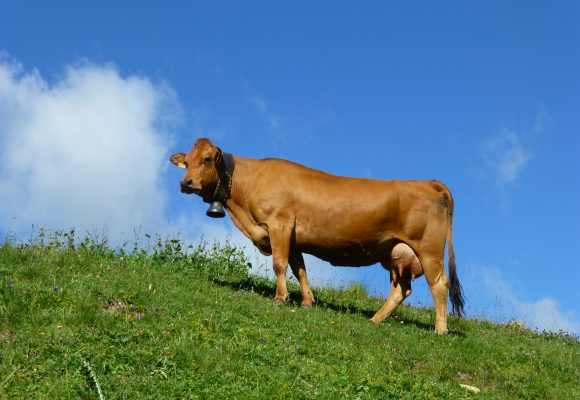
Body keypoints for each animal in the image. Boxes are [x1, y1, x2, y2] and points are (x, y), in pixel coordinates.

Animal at [170, 139, 464, 332]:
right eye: (187, 162)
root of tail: (427, 182)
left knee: (439, 284)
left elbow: (279, 265)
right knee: (401, 289)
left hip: (429, 250)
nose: (185, 183)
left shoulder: (280, 225)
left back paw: (440, 329)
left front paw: (281, 298)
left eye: (207, 159)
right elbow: (299, 268)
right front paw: (307, 302)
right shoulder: (293, 237)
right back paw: (374, 320)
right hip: (397, 253)